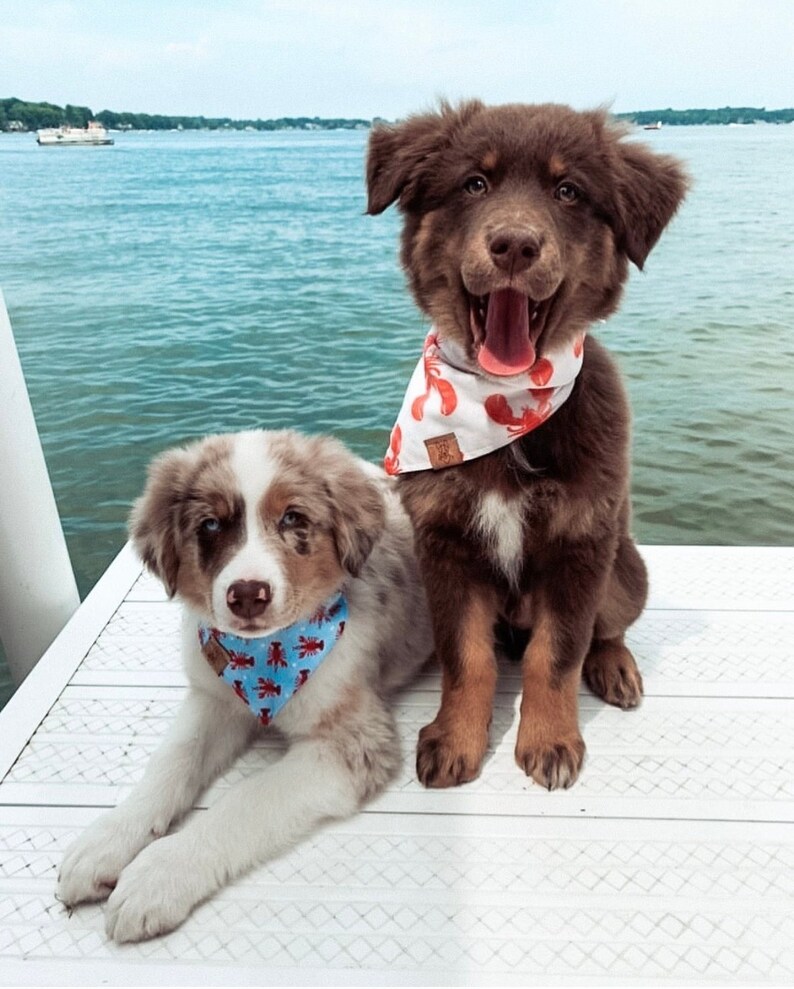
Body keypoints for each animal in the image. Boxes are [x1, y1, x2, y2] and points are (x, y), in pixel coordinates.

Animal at [57, 430, 434, 940]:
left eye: (293, 517)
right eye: (211, 525)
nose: (248, 595)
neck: (265, 662)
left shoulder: (351, 741)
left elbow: (245, 801)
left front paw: (159, 875)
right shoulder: (214, 698)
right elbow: (171, 762)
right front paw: (107, 838)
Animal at [368, 102, 684, 788]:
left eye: (568, 192)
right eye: (474, 184)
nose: (514, 245)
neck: (502, 409)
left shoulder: (581, 543)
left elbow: (557, 652)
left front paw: (550, 739)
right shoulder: (446, 545)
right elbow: (467, 657)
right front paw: (456, 739)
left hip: (625, 569)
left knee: (605, 629)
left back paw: (614, 665)